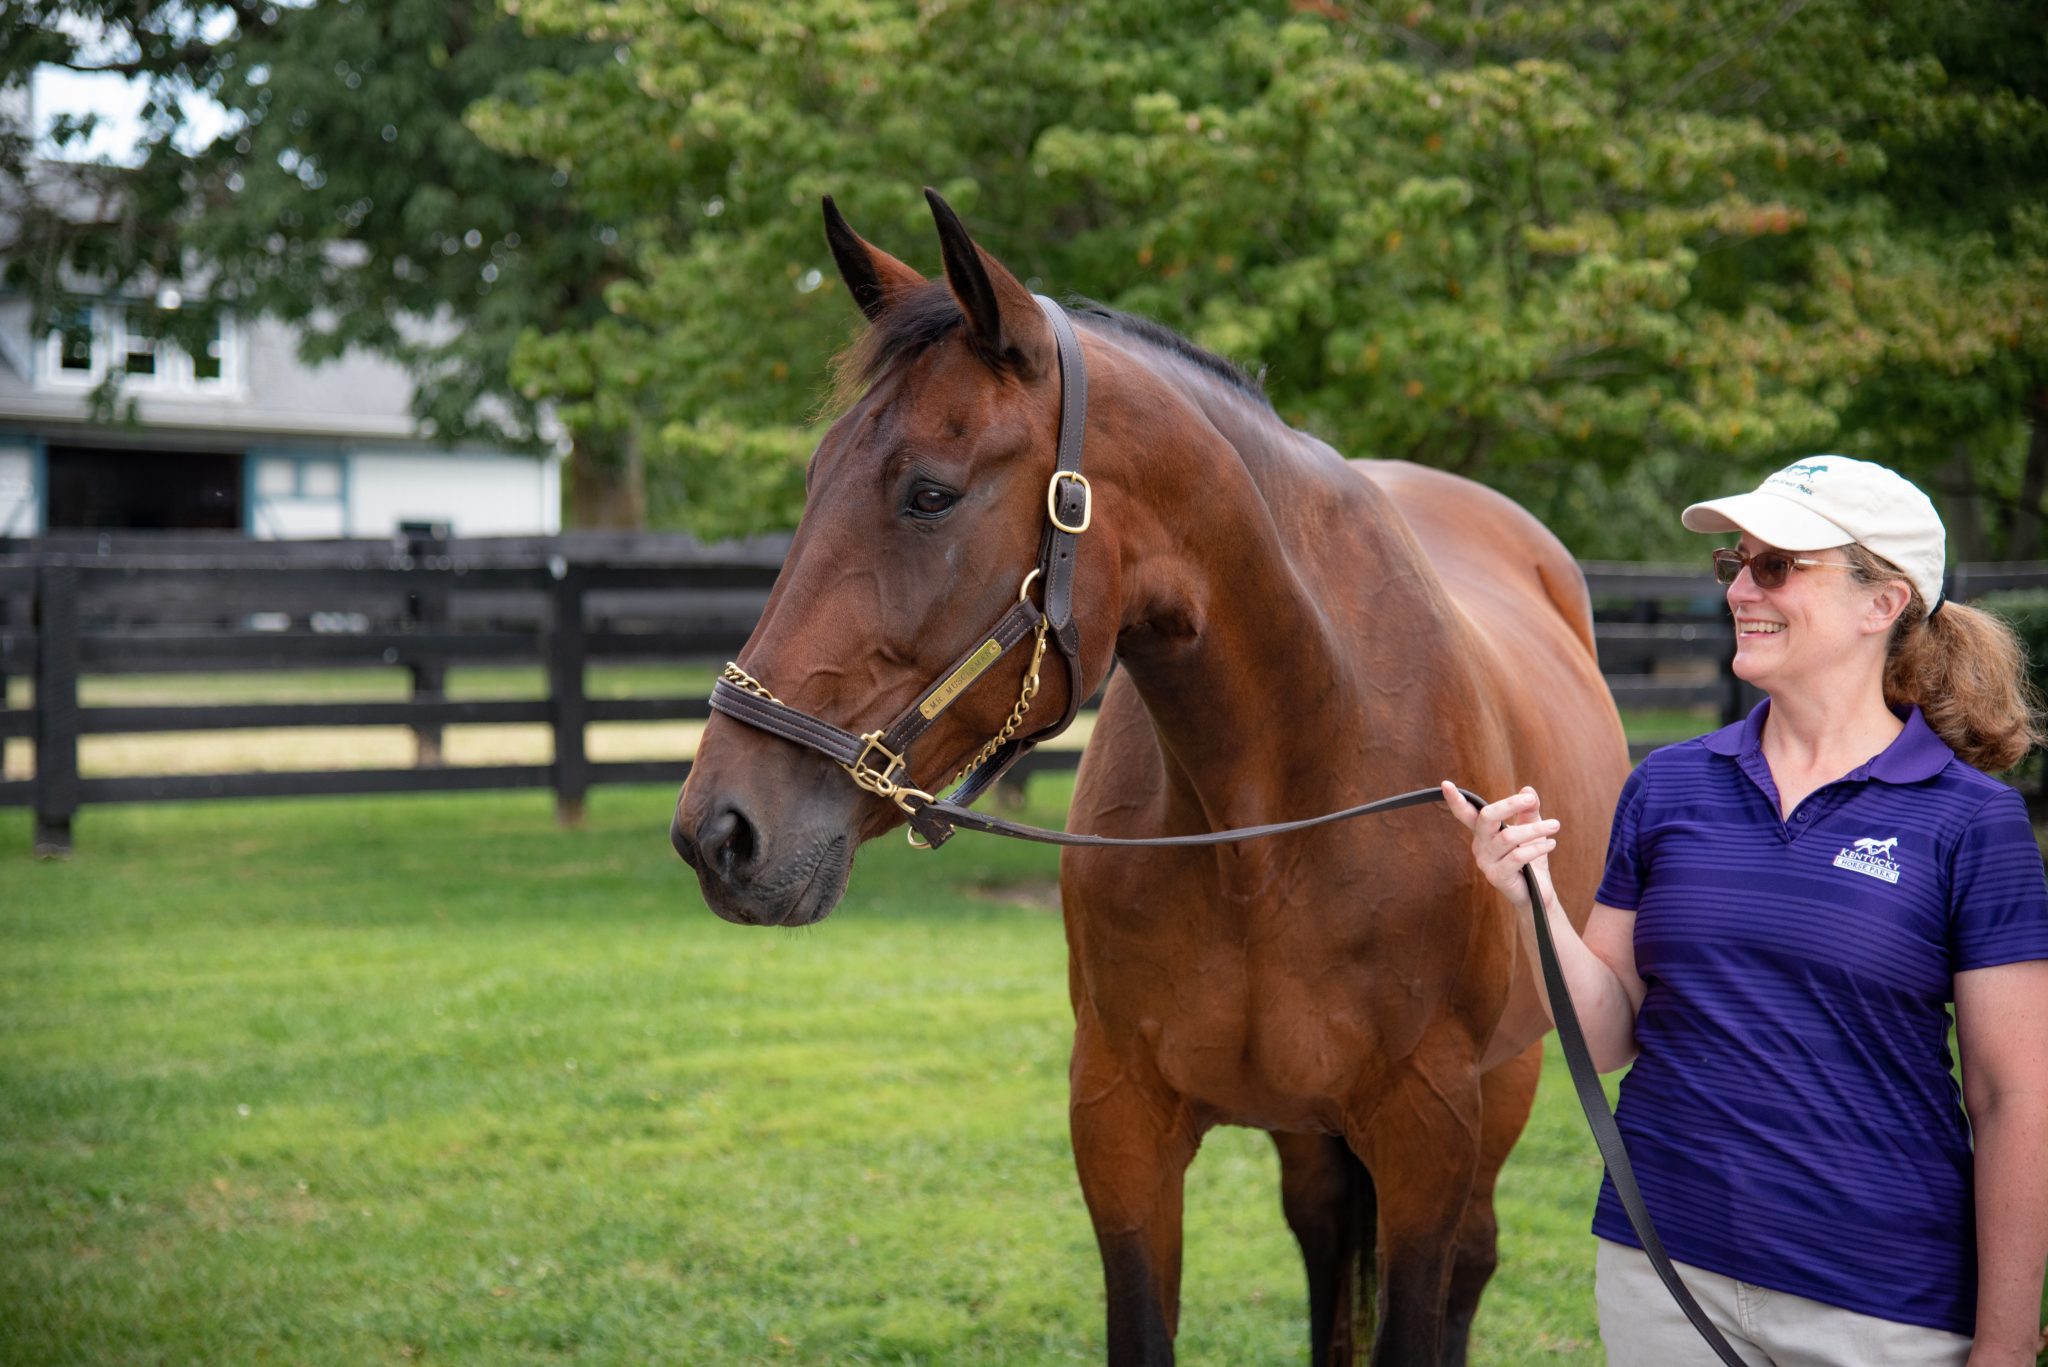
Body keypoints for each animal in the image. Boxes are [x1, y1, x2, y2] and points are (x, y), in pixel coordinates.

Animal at [671, 194, 1630, 1367]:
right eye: (813, 479)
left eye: (929, 494)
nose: (720, 831)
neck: (1272, 819)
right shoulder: (1120, 1120)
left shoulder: (1429, 1131)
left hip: (1509, 1083)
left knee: (1470, 1265)